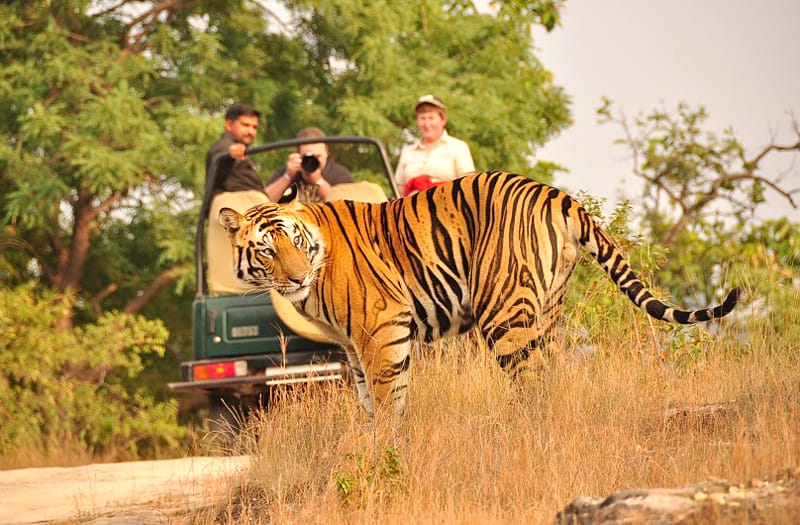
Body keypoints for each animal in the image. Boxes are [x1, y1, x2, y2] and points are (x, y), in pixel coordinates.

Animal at [219, 170, 739, 424]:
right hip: (547, 310)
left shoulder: (382, 329)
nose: (297, 276)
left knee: (532, 380)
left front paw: (386, 450)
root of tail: (559, 195)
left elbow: (388, 399)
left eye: (294, 241)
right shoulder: (352, 345)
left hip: (504, 312)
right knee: (554, 374)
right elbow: (369, 399)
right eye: (267, 250)